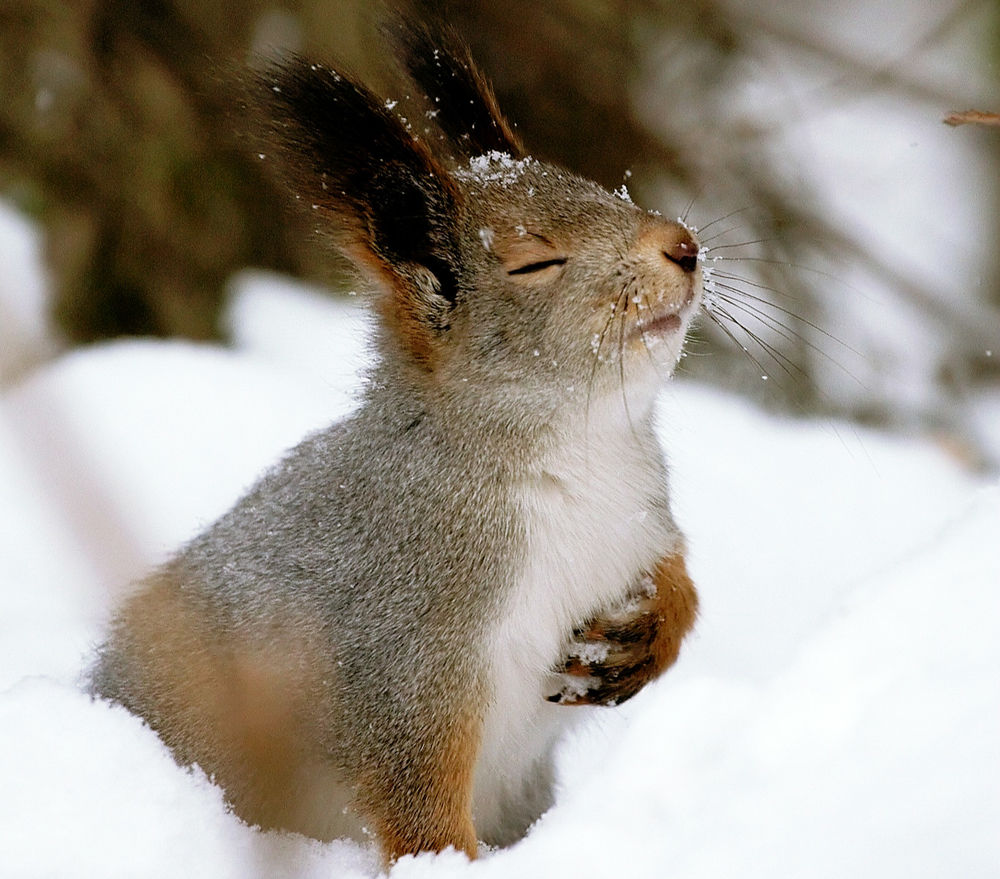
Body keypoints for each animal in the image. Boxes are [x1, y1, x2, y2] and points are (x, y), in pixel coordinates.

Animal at [88, 18, 704, 868]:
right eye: (535, 261)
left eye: (605, 189)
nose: (683, 244)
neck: (582, 454)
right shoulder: (408, 646)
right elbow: (417, 793)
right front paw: (446, 863)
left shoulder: (641, 520)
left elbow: (678, 577)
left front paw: (651, 629)